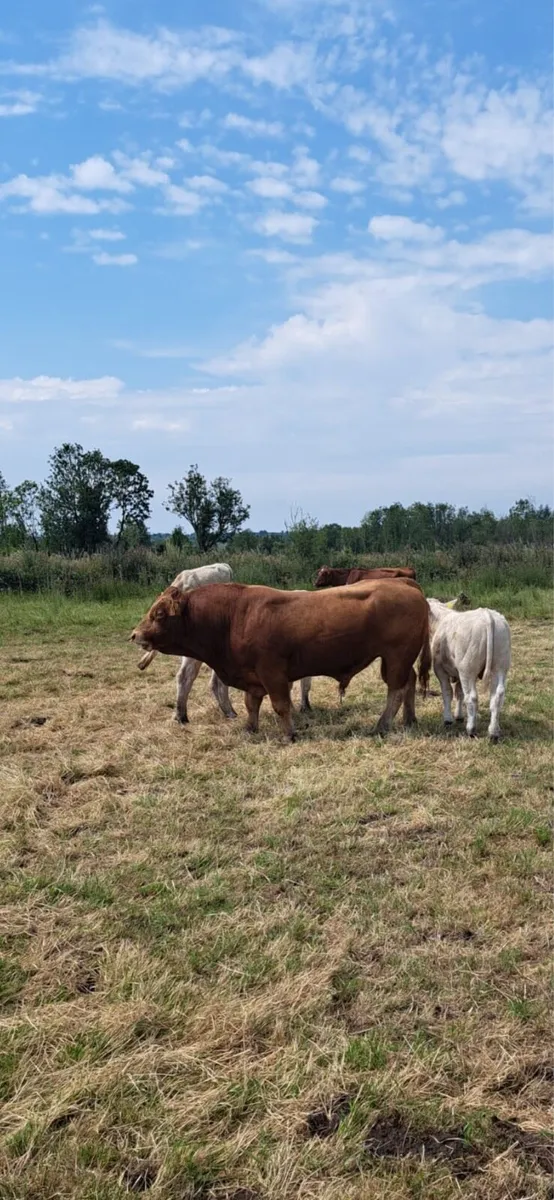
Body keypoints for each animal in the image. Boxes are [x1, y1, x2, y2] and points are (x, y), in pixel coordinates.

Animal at [131, 579, 431, 742]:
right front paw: (250, 728)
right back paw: (409, 719)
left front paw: (289, 734)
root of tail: (404, 583)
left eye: (158, 614)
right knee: (409, 683)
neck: (233, 617)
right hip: (400, 660)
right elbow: (251, 704)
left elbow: (280, 705)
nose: (135, 634)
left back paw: (382, 725)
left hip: (396, 657)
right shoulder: (252, 676)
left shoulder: (272, 673)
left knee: (396, 690)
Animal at [427, 598, 511, 742]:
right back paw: (493, 732)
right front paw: (459, 716)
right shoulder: (458, 671)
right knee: (497, 695)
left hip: (468, 668)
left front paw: (448, 719)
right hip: (500, 665)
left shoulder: (441, 670)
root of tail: (487, 615)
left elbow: (447, 693)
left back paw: (471, 729)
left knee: (471, 697)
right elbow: (459, 693)